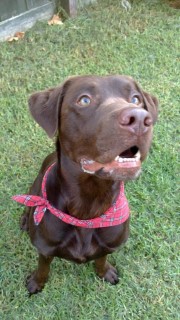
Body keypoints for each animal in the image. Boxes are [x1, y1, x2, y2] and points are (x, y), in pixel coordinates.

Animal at [14, 75, 158, 296]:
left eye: (135, 99)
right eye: (84, 100)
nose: (140, 119)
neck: (89, 202)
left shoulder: (109, 244)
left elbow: (101, 259)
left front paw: (104, 272)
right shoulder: (45, 249)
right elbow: (43, 267)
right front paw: (36, 283)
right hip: (34, 187)